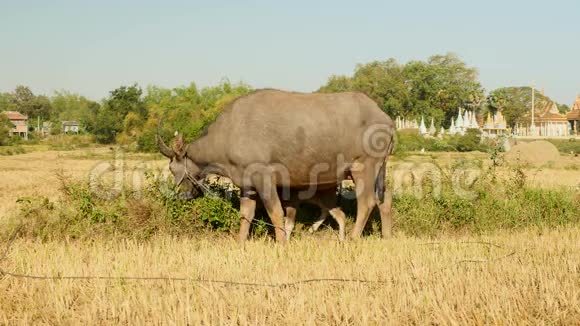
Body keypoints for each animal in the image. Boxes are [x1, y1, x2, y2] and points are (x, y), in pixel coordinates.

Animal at [157, 89, 394, 242]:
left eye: (173, 169)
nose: (180, 195)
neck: (230, 133)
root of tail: (386, 119)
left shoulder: (264, 178)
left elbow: (276, 213)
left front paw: (281, 243)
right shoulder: (247, 185)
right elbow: (246, 215)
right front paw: (240, 242)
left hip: (363, 167)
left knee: (367, 202)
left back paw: (353, 238)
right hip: (379, 170)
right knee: (385, 199)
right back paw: (386, 236)